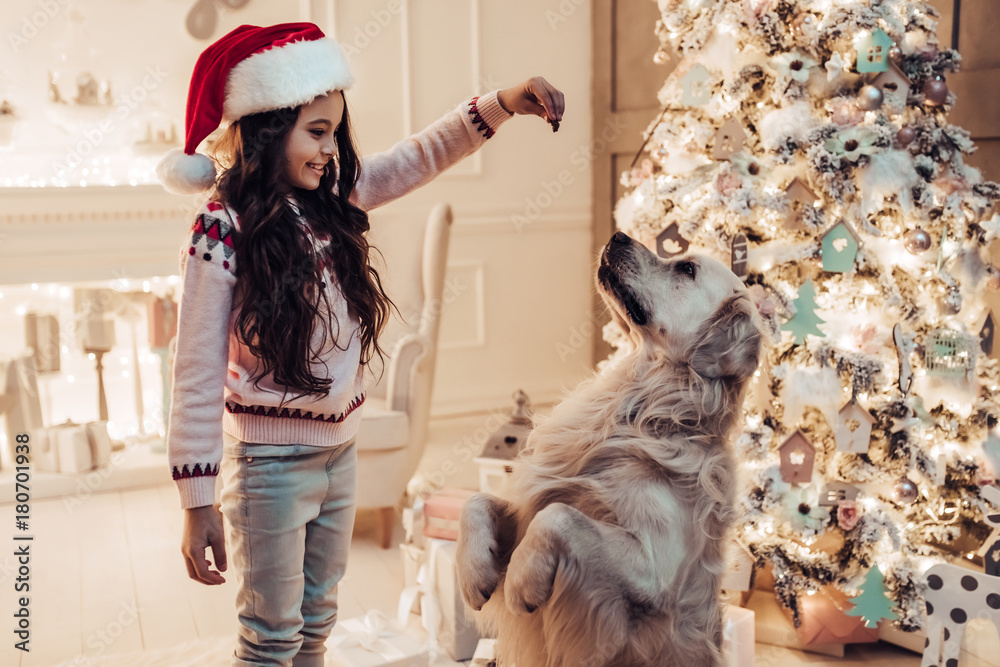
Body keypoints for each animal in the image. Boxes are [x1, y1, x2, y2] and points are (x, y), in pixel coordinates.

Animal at [458, 232, 760, 664]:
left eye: (686, 269)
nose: (617, 236)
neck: (642, 415)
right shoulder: (526, 504)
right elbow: (476, 500)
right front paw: (474, 573)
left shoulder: (655, 570)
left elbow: (558, 515)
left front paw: (520, 581)